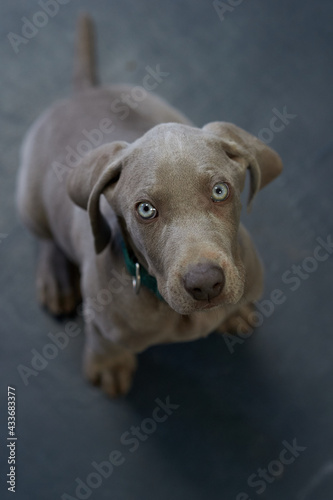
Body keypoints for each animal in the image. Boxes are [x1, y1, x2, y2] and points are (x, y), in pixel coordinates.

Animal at [15, 15, 280, 396]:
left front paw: (235, 313)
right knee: (47, 238)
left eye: (220, 191)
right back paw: (57, 281)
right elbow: (104, 341)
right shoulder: (102, 322)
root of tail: (84, 91)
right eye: (145, 210)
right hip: (30, 200)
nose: (205, 284)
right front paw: (109, 366)